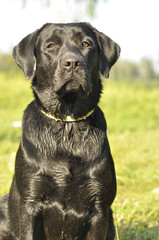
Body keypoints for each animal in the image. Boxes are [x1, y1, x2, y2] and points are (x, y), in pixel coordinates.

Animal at [0, 22, 120, 238]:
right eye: (50, 46)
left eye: (86, 44)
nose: (72, 63)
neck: (67, 125)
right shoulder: (30, 203)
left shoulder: (99, 209)